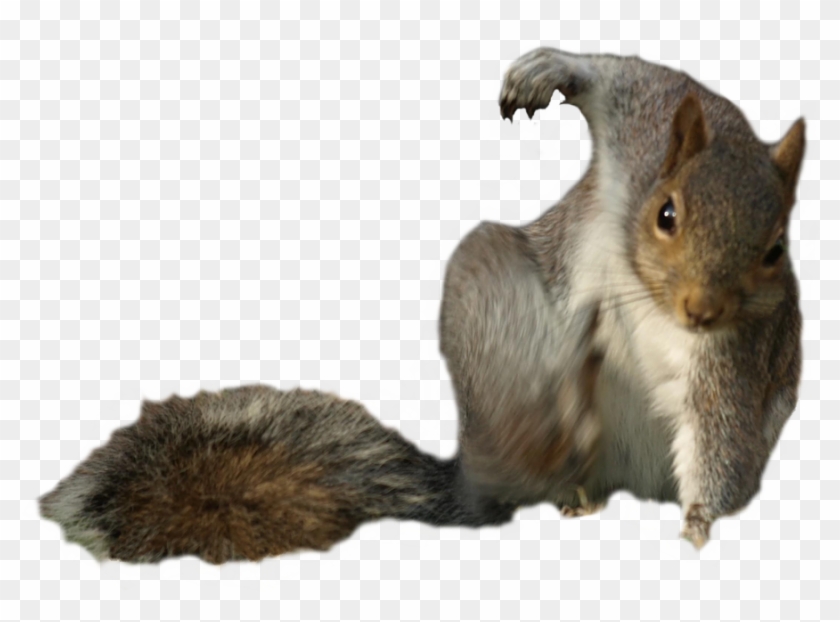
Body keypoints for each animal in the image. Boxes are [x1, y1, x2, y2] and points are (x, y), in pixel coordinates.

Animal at [40, 48, 805, 563]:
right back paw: (557, 449)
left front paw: (699, 526)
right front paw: (550, 70)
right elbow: (623, 80)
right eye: (666, 213)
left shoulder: (740, 353)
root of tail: (476, 487)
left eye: (776, 248)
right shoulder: (643, 125)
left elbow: (720, 436)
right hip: (490, 292)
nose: (701, 310)